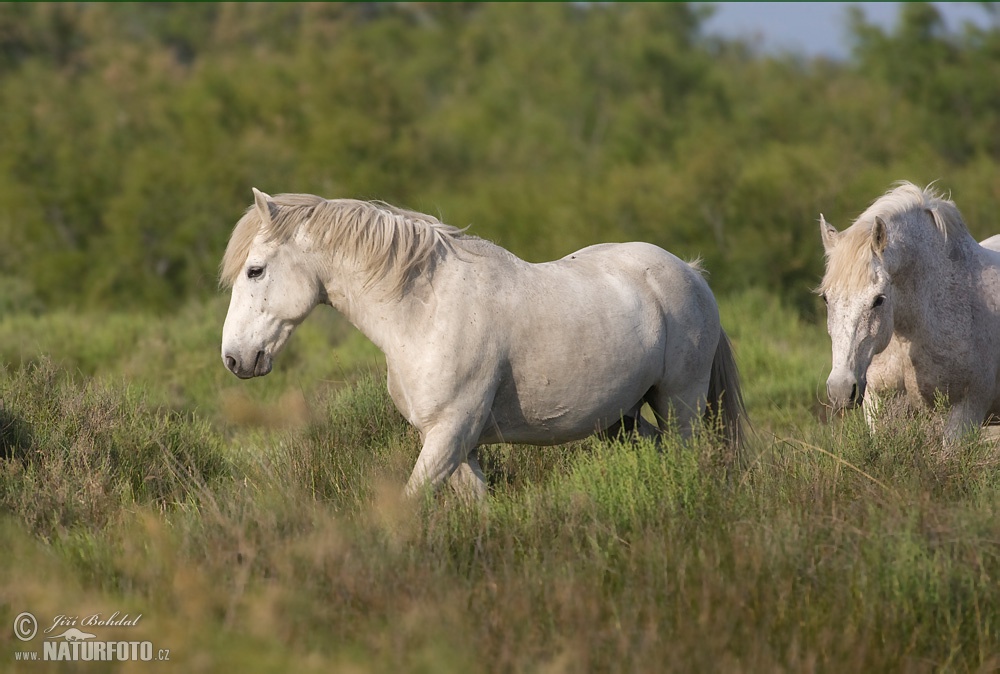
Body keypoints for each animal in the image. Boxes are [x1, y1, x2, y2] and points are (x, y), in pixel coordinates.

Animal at [223, 186, 748, 496]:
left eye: (255, 271)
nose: (234, 358)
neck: (425, 311)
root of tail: (690, 273)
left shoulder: (449, 434)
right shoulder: (457, 443)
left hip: (680, 405)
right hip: (621, 418)